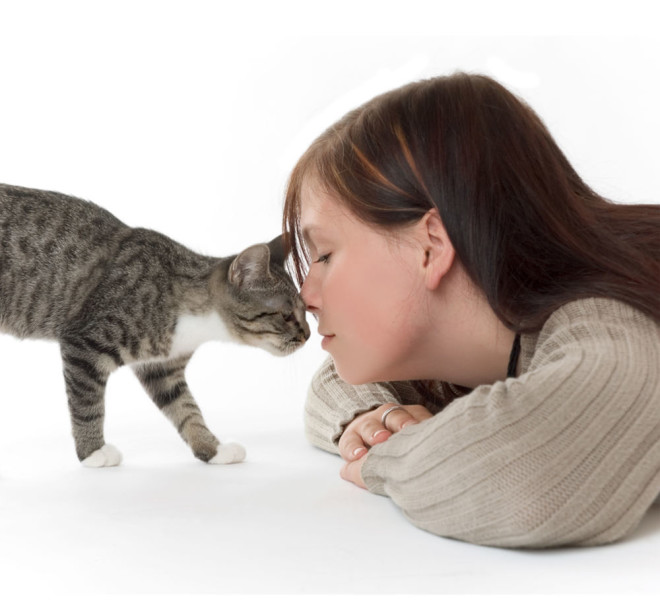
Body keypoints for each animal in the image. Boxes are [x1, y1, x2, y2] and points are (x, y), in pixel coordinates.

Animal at [0, 184, 310, 468]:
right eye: (286, 315)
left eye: (306, 311)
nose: (307, 335)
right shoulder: (84, 343)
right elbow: (87, 403)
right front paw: (93, 452)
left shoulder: (163, 369)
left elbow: (186, 409)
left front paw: (212, 449)